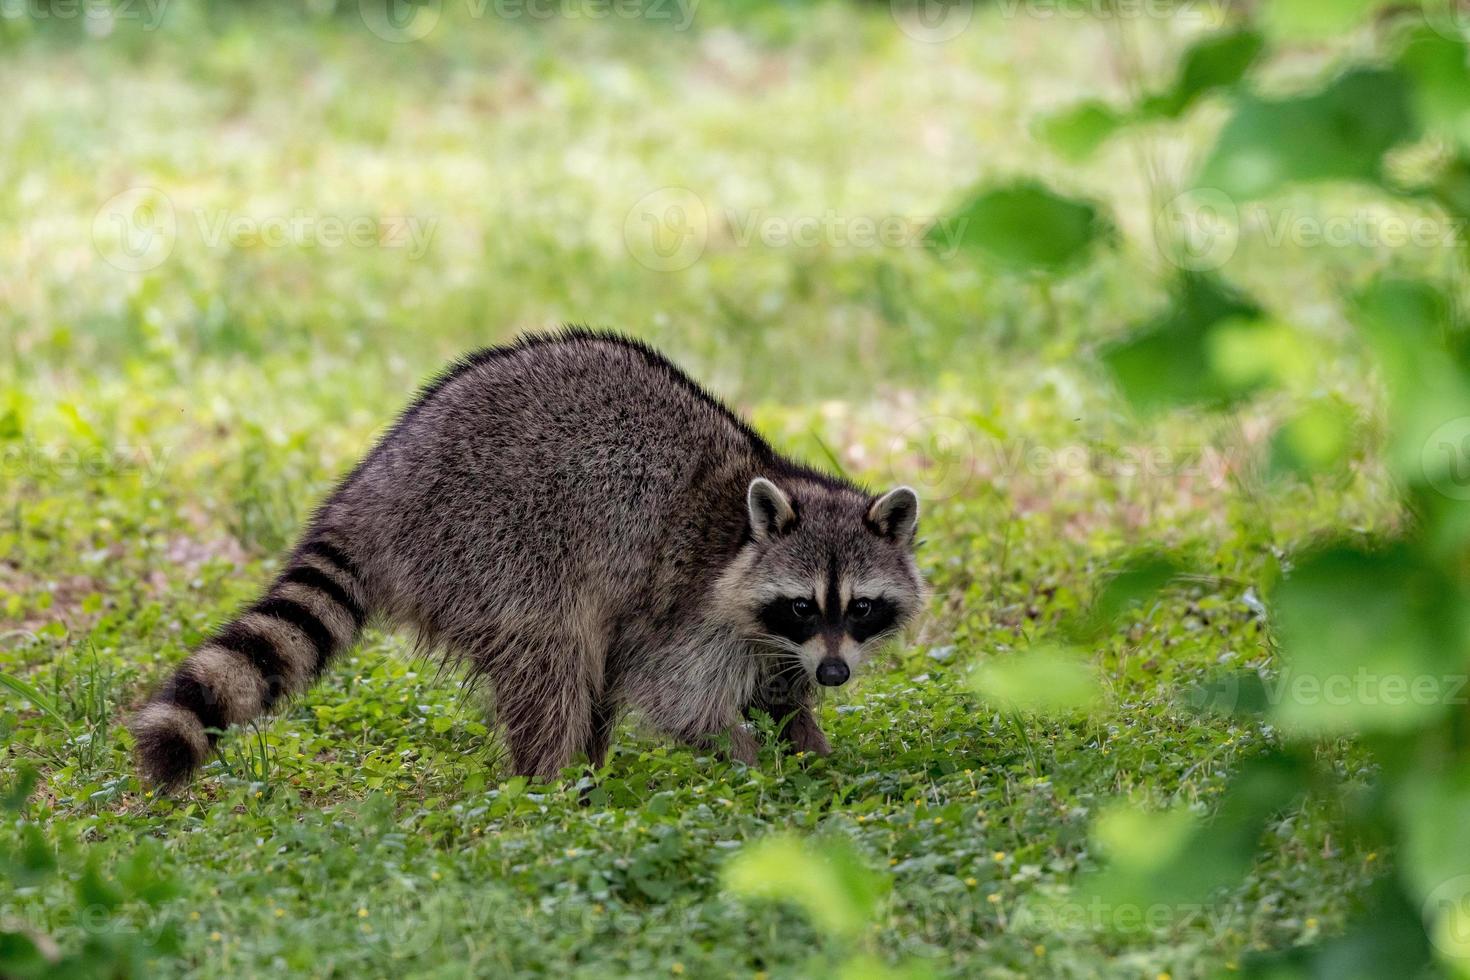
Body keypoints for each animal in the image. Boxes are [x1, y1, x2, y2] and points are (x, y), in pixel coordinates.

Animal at [132, 329, 923, 787]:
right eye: (802, 605)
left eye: (860, 607)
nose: (836, 672)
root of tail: (374, 487)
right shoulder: (687, 608)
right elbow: (678, 698)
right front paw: (753, 769)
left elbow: (776, 692)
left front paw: (812, 754)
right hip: (494, 545)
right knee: (555, 659)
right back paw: (552, 784)